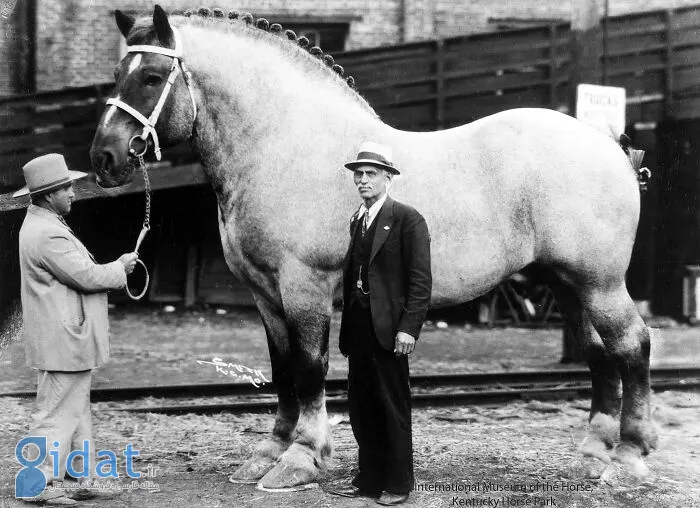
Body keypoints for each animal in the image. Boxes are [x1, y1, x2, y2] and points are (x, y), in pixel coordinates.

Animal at [89, 5, 656, 492]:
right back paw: (593, 453)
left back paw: (629, 457)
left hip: (599, 283)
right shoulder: (265, 294)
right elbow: (281, 369)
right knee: (598, 353)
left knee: (632, 345)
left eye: (151, 77)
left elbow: (309, 368)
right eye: (118, 73)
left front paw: (302, 458)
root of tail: (608, 144)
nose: (104, 158)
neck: (285, 145)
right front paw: (269, 452)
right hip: (567, 283)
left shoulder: (304, 286)